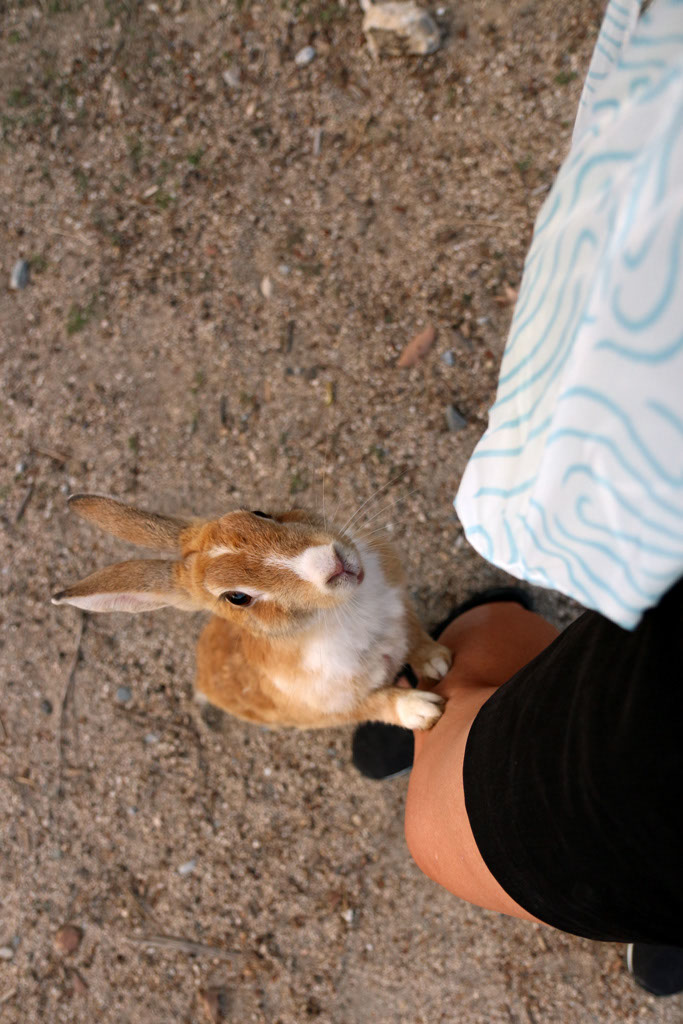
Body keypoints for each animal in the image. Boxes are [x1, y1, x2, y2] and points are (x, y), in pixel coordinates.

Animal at [51, 494, 452, 730]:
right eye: (237, 597)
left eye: (259, 512)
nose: (331, 562)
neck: (338, 612)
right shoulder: (331, 707)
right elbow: (378, 704)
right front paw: (425, 711)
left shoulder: (402, 612)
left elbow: (418, 640)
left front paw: (439, 662)